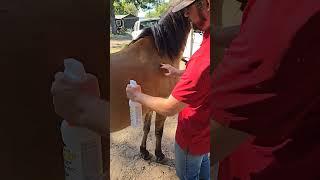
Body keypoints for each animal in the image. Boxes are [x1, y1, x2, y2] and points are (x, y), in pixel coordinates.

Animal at [110, 8, 190, 161]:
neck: (161, 52)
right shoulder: (163, 102)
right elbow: (158, 130)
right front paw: (159, 154)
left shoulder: (149, 103)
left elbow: (146, 128)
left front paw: (144, 151)